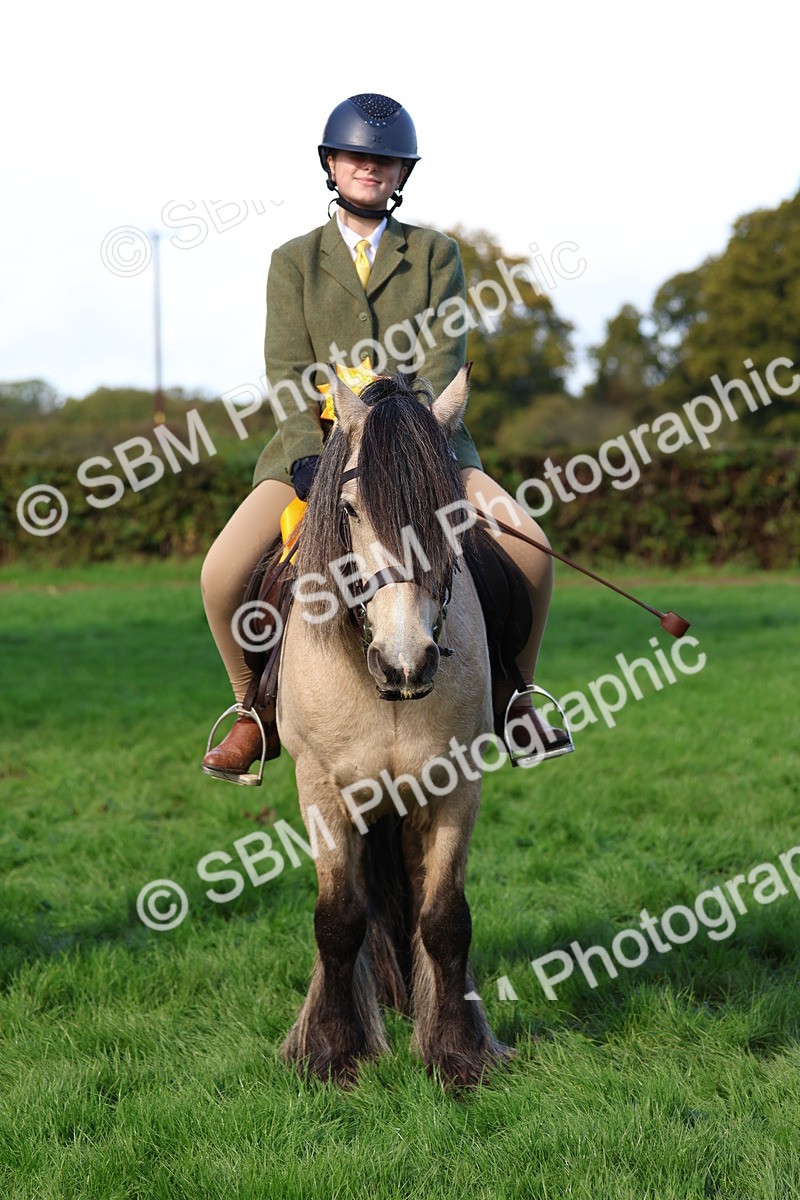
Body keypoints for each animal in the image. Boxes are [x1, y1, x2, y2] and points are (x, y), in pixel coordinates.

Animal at [274, 364, 512, 1088]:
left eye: (452, 514)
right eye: (350, 510)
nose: (406, 662)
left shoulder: (458, 782)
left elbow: (445, 917)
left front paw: (458, 1051)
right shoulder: (322, 787)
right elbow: (337, 918)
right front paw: (330, 1049)